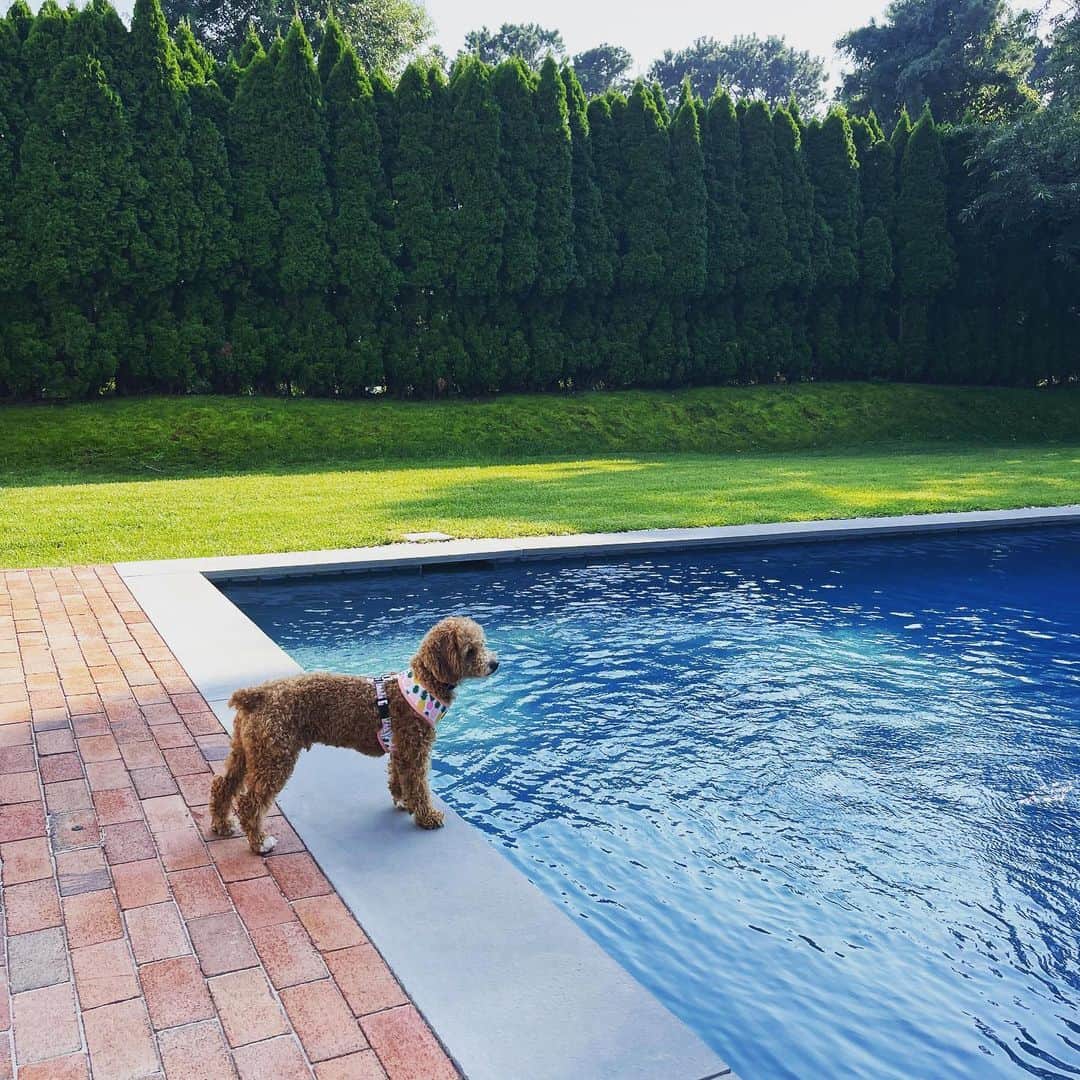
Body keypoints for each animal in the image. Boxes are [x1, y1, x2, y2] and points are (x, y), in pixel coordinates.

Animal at [208, 617, 498, 851]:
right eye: (471, 650)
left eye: (482, 644)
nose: (495, 664)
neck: (425, 683)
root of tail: (258, 695)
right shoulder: (415, 750)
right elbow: (418, 787)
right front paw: (427, 817)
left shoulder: (400, 750)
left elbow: (399, 779)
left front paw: (402, 801)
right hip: (275, 756)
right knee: (250, 803)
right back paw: (259, 842)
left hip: (247, 751)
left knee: (222, 785)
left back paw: (222, 825)